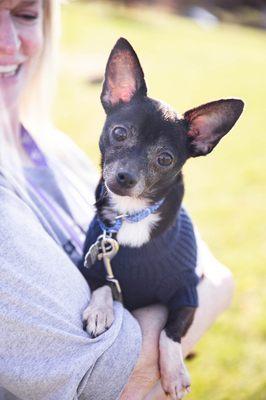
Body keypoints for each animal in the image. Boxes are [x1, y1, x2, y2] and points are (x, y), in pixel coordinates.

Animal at [80, 38, 244, 400]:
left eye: (165, 159)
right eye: (119, 133)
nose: (125, 177)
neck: (131, 215)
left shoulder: (188, 292)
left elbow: (171, 332)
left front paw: (174, 370)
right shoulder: (92, 267)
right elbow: (103, 286)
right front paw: (100, 311)